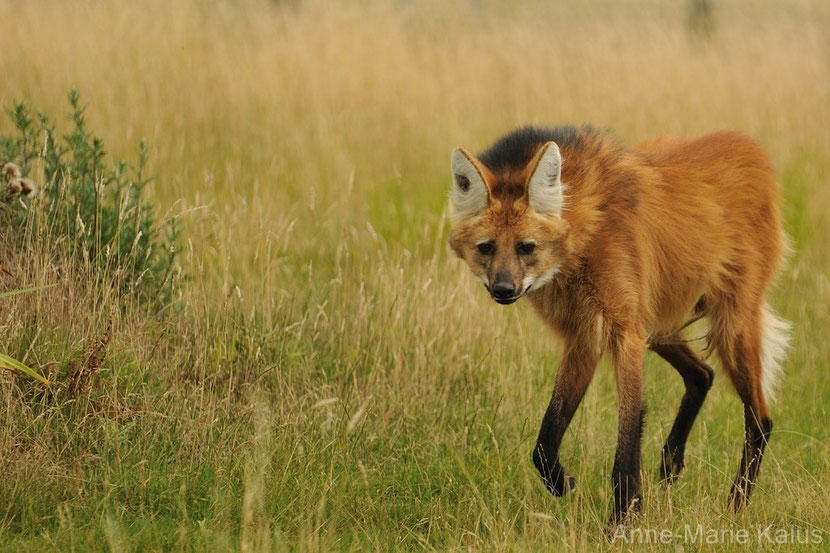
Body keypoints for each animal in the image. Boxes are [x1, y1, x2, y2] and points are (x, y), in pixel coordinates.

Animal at [448, 125, 792, 528]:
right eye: (486, 248)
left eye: (526, 247)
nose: (503, 290)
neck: (583, 238)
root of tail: (751, 149)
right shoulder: (586, 335)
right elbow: (545, 439)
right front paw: (563, 483)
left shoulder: (623, 332)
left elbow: (629, 429)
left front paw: (622, 520)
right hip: (658, 324)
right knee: (702, 374)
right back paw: (671, 461)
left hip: (726, 326)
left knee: (760, 420)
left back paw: (735, 505)